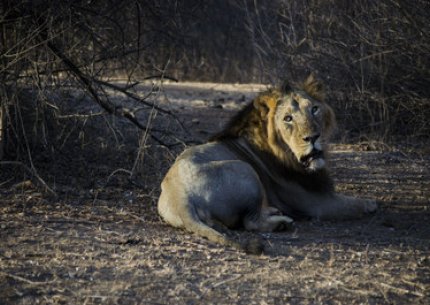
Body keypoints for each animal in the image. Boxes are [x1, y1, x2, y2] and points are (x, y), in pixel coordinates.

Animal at [157, 75, 376, 253]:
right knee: (251, 223)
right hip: (245, 169)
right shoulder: (317, 203)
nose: (313, 137)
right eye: (288, 118)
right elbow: (362, 204)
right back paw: (282, 223)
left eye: (314, 109)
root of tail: (180, 197)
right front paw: (372, 204)